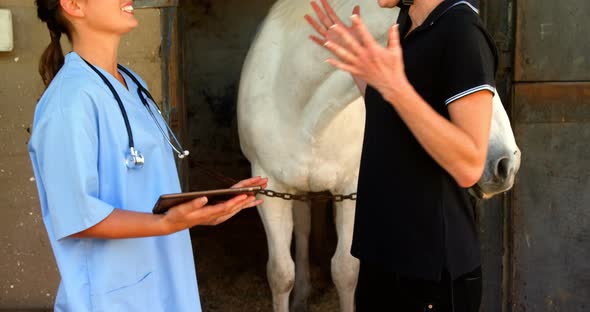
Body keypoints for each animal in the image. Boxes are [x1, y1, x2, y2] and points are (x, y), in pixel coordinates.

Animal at [236, 1, 524, 310]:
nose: (507, 163)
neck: (302, 108)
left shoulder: (350, 190)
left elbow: (345, 271)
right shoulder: (268, 187)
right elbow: (280, 274)